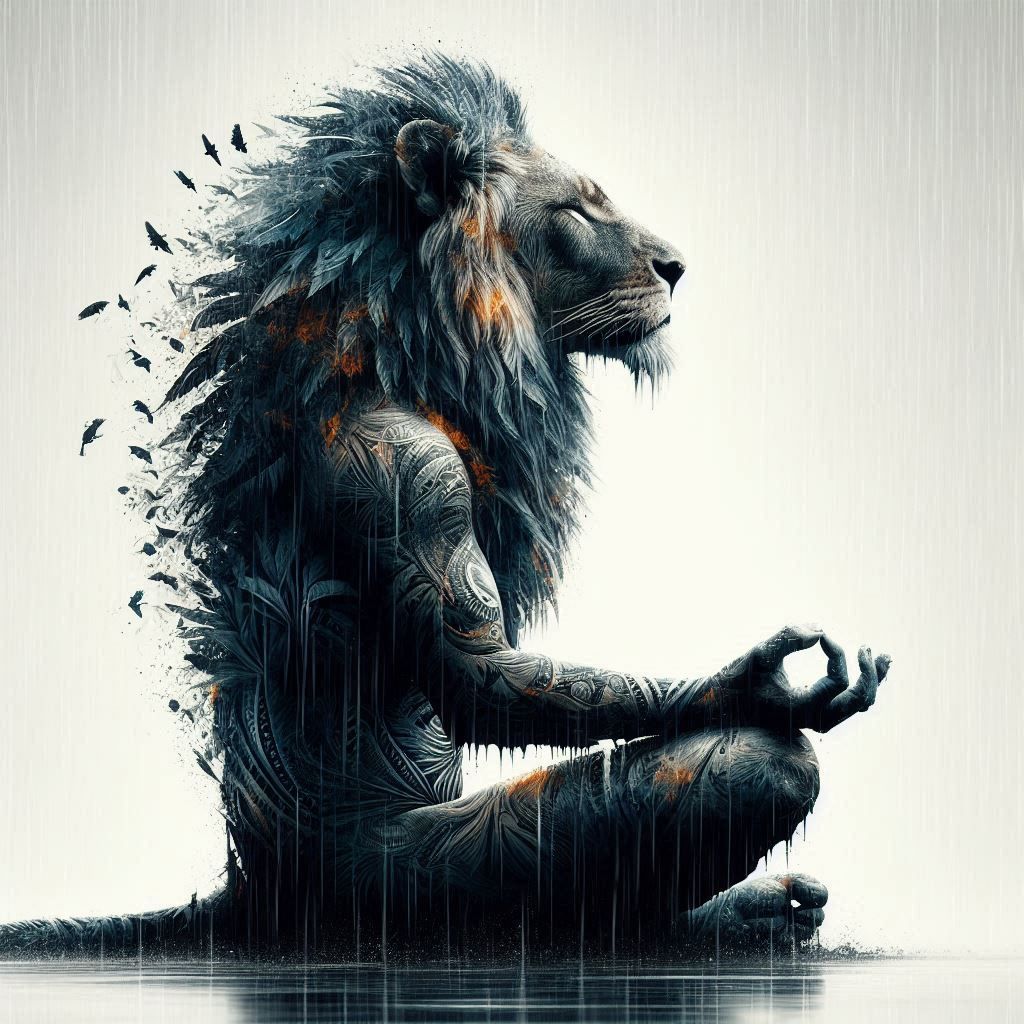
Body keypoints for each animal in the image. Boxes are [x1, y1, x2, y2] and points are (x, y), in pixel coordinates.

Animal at [1, 53, 890, 957]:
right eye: (576, 209)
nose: (678, 267)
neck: (404, 349)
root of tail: (247, 883)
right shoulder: (406, 475)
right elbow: (478, 676)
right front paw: (761, 682)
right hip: (402, 883)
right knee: (749, 771)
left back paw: (761, 911)